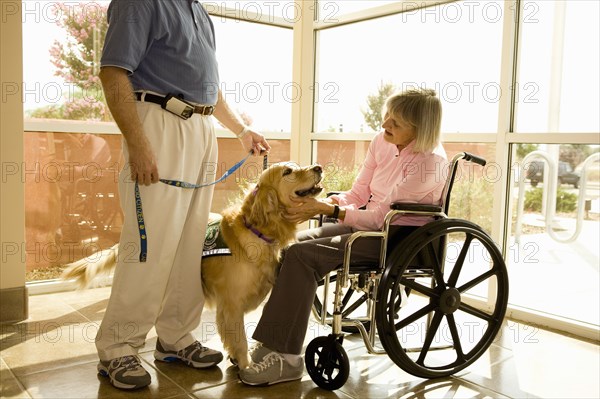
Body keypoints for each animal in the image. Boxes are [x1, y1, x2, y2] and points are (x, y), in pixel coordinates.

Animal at [61, 162, 324, 368]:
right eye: (288, 171)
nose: (319, 168)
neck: (256, 230)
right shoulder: (231, 303)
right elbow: (239, 338)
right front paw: (246, 365)